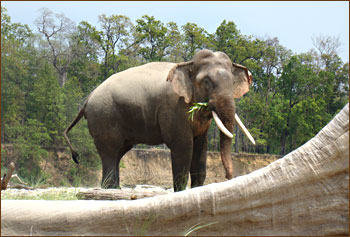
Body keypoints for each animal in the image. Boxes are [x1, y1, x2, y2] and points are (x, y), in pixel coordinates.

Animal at [63, 49, 254, 192]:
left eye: (233, 82)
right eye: (206, 81)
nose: (228, 177)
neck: (187, 64)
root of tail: (88, 99)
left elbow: (201, 147)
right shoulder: (173, 109)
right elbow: (183, 147)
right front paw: (180, 192)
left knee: (119, 152)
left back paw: (114, 189)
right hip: (104, 117)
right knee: (110, 151)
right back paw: (110, 190)